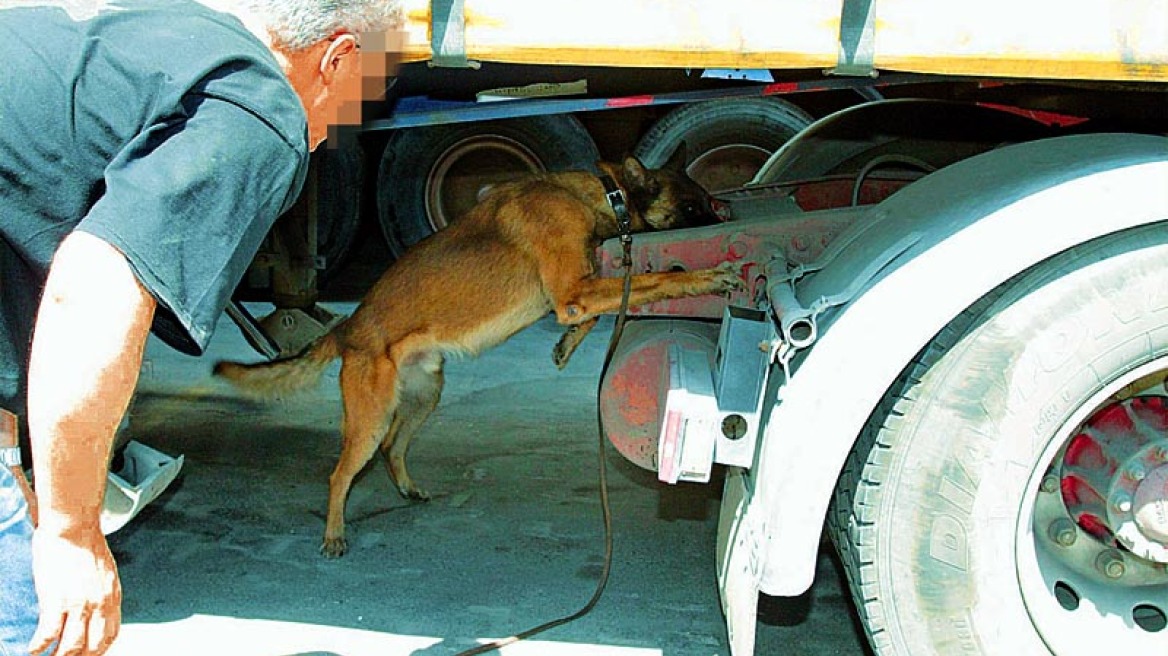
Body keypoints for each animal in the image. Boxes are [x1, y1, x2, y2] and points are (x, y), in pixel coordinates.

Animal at [216, 147, 742, 550]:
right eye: (695, 206)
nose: (731, 215)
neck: (599, 192)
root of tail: (350, 328)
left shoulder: (574, 295)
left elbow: (595, 313)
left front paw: (566, 345)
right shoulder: (573, 292)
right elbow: (659, 279)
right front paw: (708, 276)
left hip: (424, 398)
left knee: (392, 447)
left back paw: (406, 488)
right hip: (372, 416)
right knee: (339, 475)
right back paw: (334, 534)